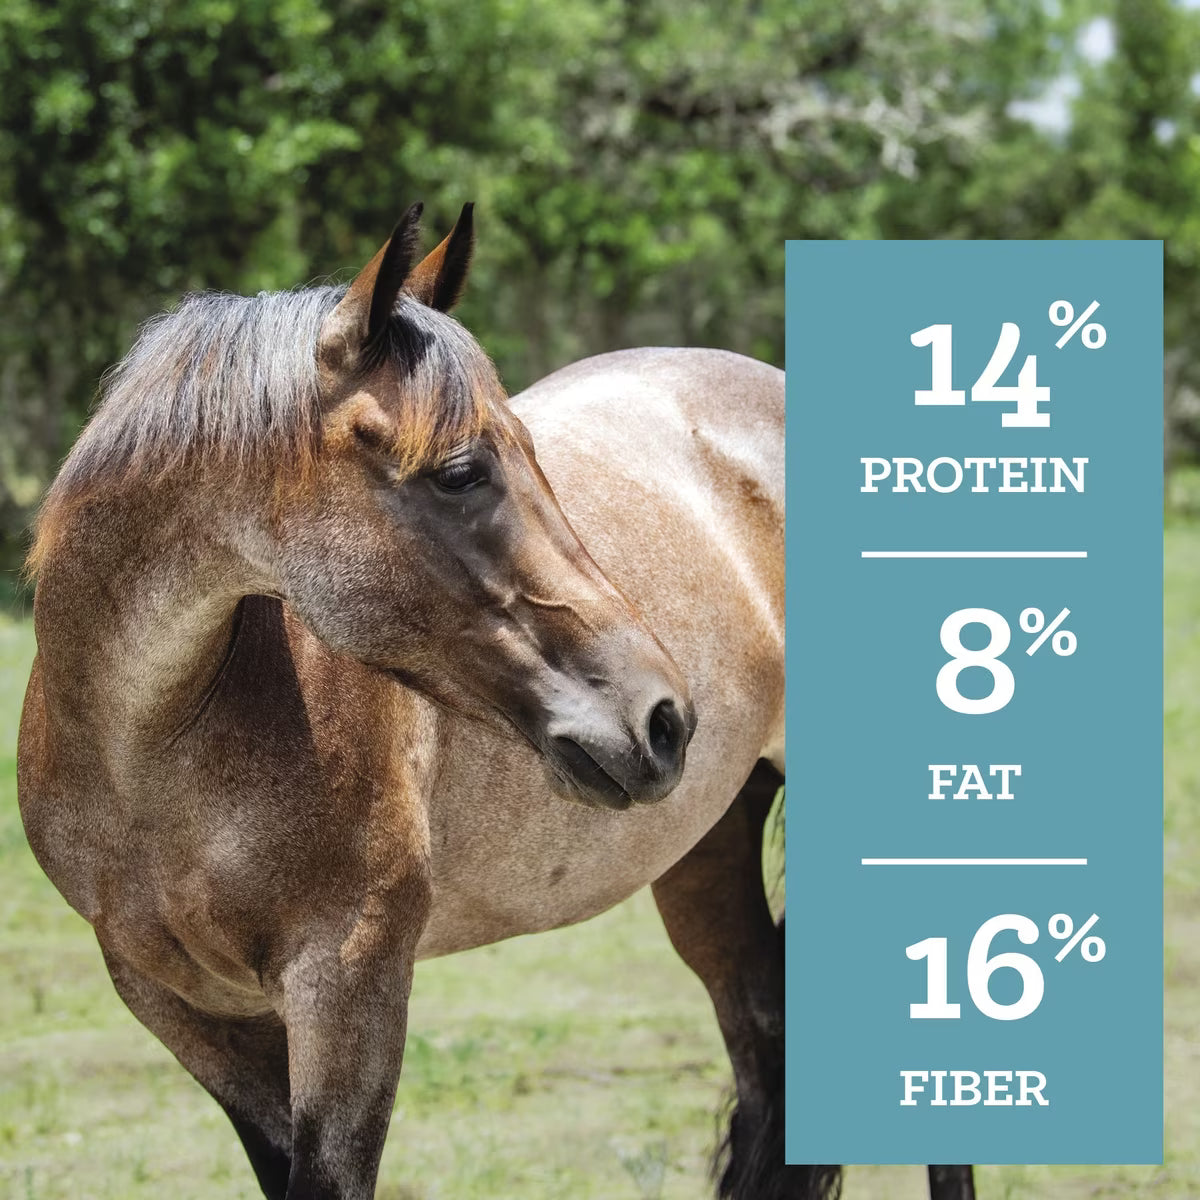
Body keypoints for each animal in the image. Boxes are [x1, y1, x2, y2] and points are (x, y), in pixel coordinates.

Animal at [17, 201, 972, 1200]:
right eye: (461, 471)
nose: (664, 718)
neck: (150, 758)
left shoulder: (348, 989)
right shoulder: (188, 1013)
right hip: (708, 855)